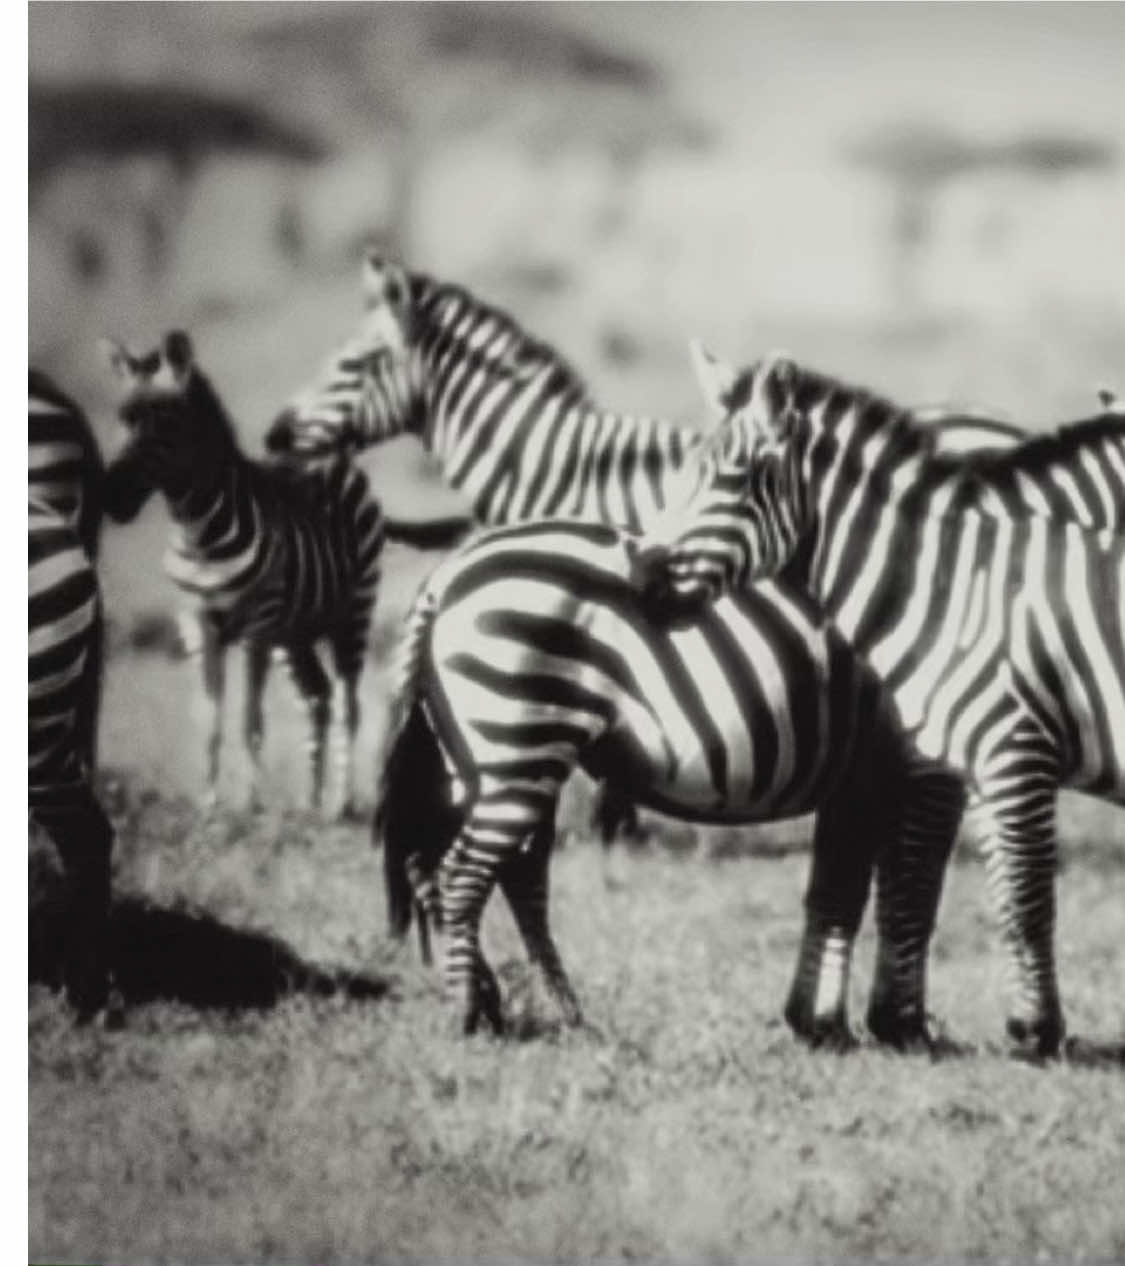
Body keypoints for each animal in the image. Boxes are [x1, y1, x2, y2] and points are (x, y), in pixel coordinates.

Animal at [101, 330, 390, 817]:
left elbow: (248, 719)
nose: (111, 499)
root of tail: (327, 455)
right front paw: (209, 802)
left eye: (164, 424)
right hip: (294, 634)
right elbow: (208, 720)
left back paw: (341, 802)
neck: (198, 532)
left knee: (349, 704)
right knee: (318, 697)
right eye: (122, 420)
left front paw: (252, 803)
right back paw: (312, 802)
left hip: (352, 612)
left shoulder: (257, 626)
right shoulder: (199, 625)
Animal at [375, 516, 972, 1041]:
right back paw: (469, 1012)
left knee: (482, 871)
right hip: (521, 737)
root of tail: (449, 574)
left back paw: (537, 1005)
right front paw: (902, 1026)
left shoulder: (861, 778)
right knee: (463, 873)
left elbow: (838, 893)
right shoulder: (925, 767)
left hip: (486, 755)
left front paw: (820, 1023)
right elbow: (913, 896)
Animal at [648, 345, 1125, 1057]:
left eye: (732, 480)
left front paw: (1031, 1031)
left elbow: (1011, 895)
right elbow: (934, 886)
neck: (948, 587)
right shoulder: (971, 762)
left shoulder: (1005, 752)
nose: (638, 576)